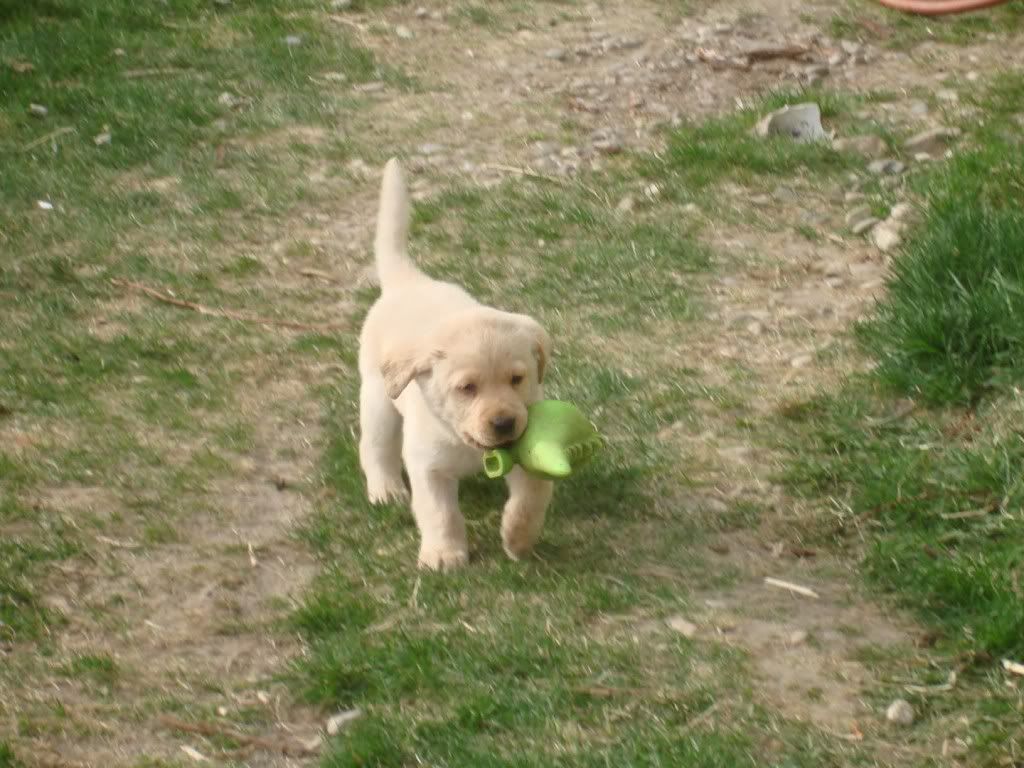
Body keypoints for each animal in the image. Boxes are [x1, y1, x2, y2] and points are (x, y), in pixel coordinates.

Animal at [358, 157, 552, 573]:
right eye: (467, 388)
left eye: (517, 379)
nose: (504, 423)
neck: (471, 446)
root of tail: (409, 282)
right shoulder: (427, 466)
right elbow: (439, 512)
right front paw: (444, 555)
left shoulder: (529, 459)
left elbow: (529, 501)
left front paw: (518, 539)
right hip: (378, 398)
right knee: (375, 445)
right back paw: (385, 488)